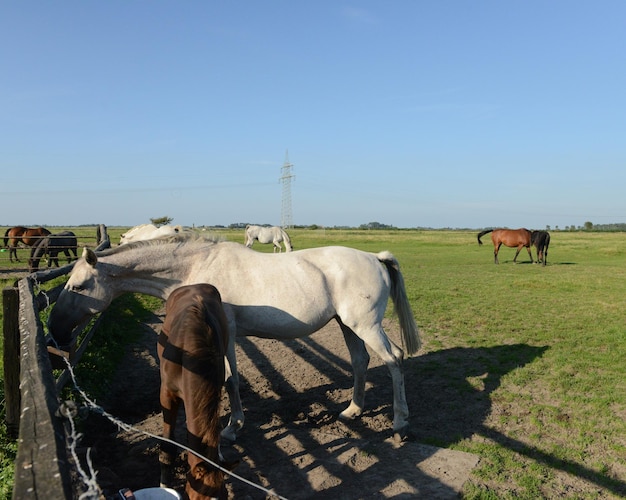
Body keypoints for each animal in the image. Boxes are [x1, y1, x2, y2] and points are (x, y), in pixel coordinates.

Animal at [48, 234, 420, 442]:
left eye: (79, 286)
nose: (55, 331)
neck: (193, 269)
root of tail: (375, 258)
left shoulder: (224, 332)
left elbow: (230, 379)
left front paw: (231, 428)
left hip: (365, 325)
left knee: (394, 359)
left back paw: (400, 423)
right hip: (347, 325)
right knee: (361, 361)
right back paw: (352, 411)